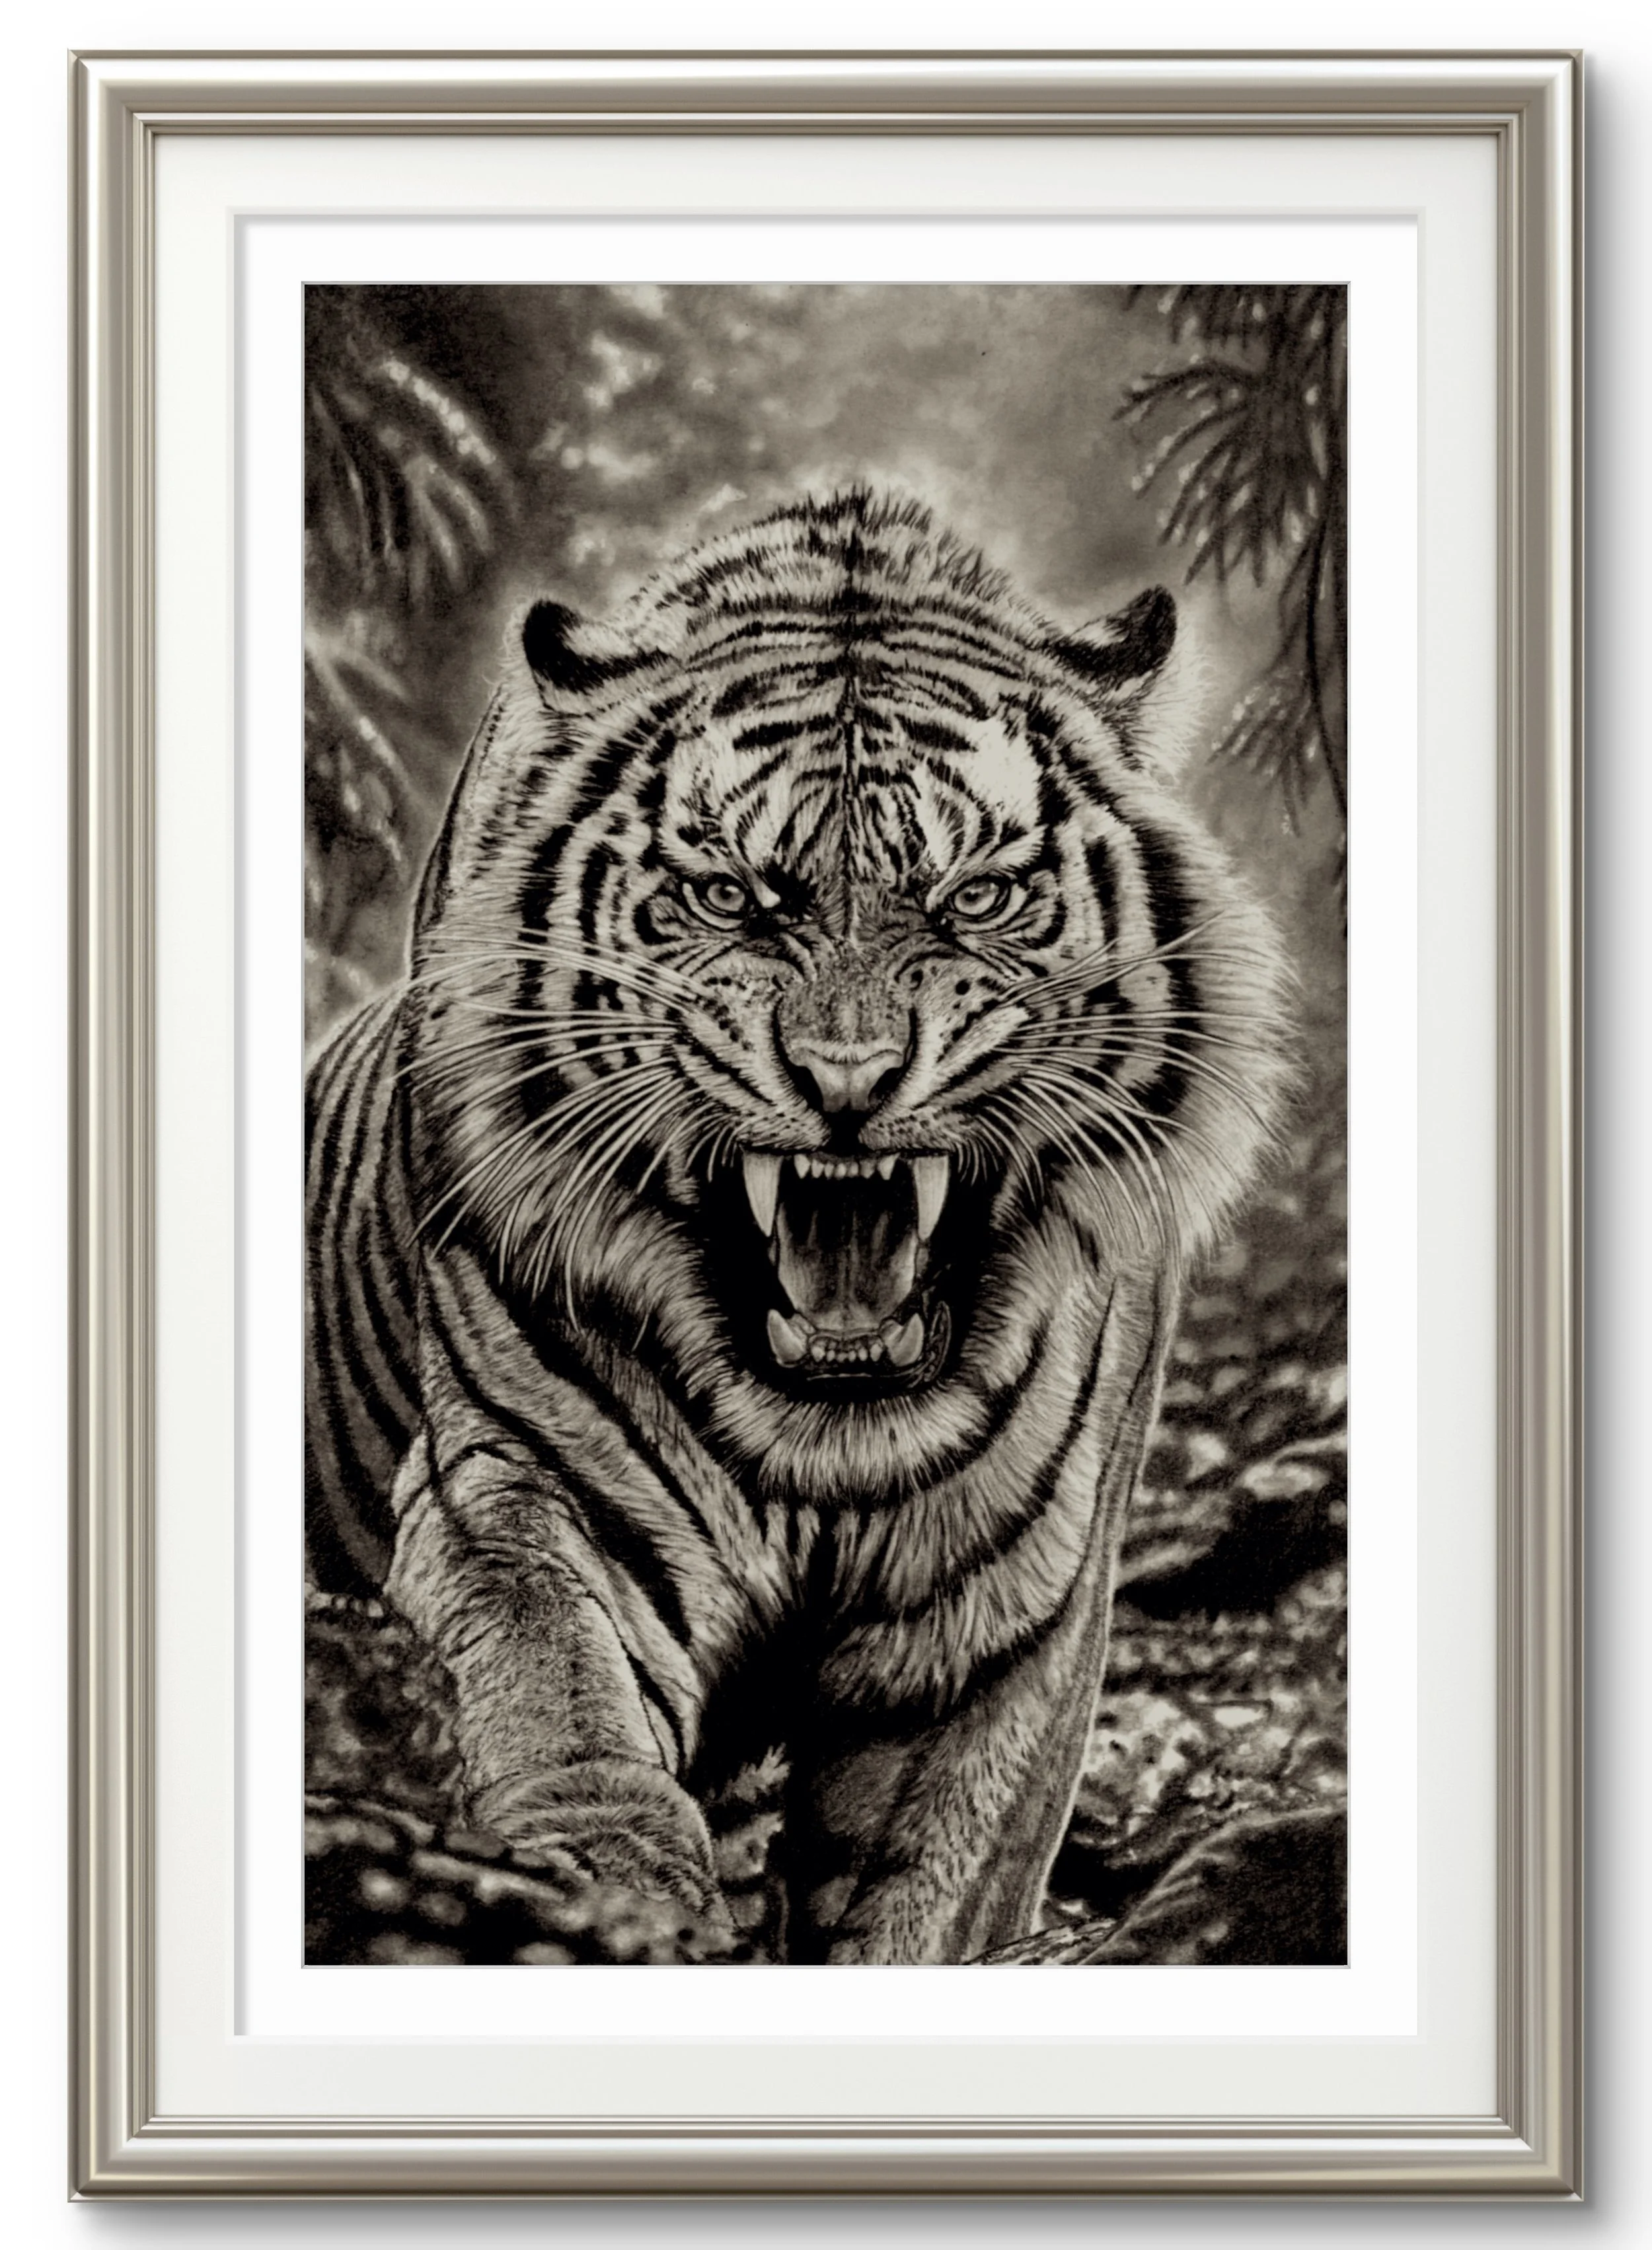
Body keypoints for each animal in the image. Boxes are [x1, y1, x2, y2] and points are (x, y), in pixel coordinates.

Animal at [305, 487, 1293, 1965]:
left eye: (976, 897)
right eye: (729, 897)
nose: (847, 1078)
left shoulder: (1011, 1618)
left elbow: (923, 1895)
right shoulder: (521, 1478)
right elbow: (562, 1697)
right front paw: (601, 1889)